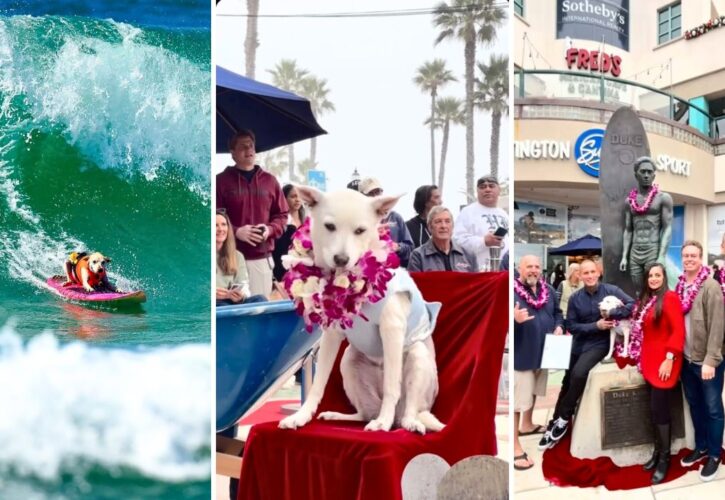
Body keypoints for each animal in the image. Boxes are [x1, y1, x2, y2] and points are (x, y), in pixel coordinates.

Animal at [278, 188, 444, 434]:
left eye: (360, 231)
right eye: (329, 226)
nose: (341, 259)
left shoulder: (392, 330)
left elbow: (392, 385)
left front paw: (383, 422)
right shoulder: (331, 335)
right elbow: (318, 384)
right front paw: (301, 416)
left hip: (417, 357)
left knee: (408, 409)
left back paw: (405, 422)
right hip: (349, 361)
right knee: (365, 413)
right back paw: (342, 416)